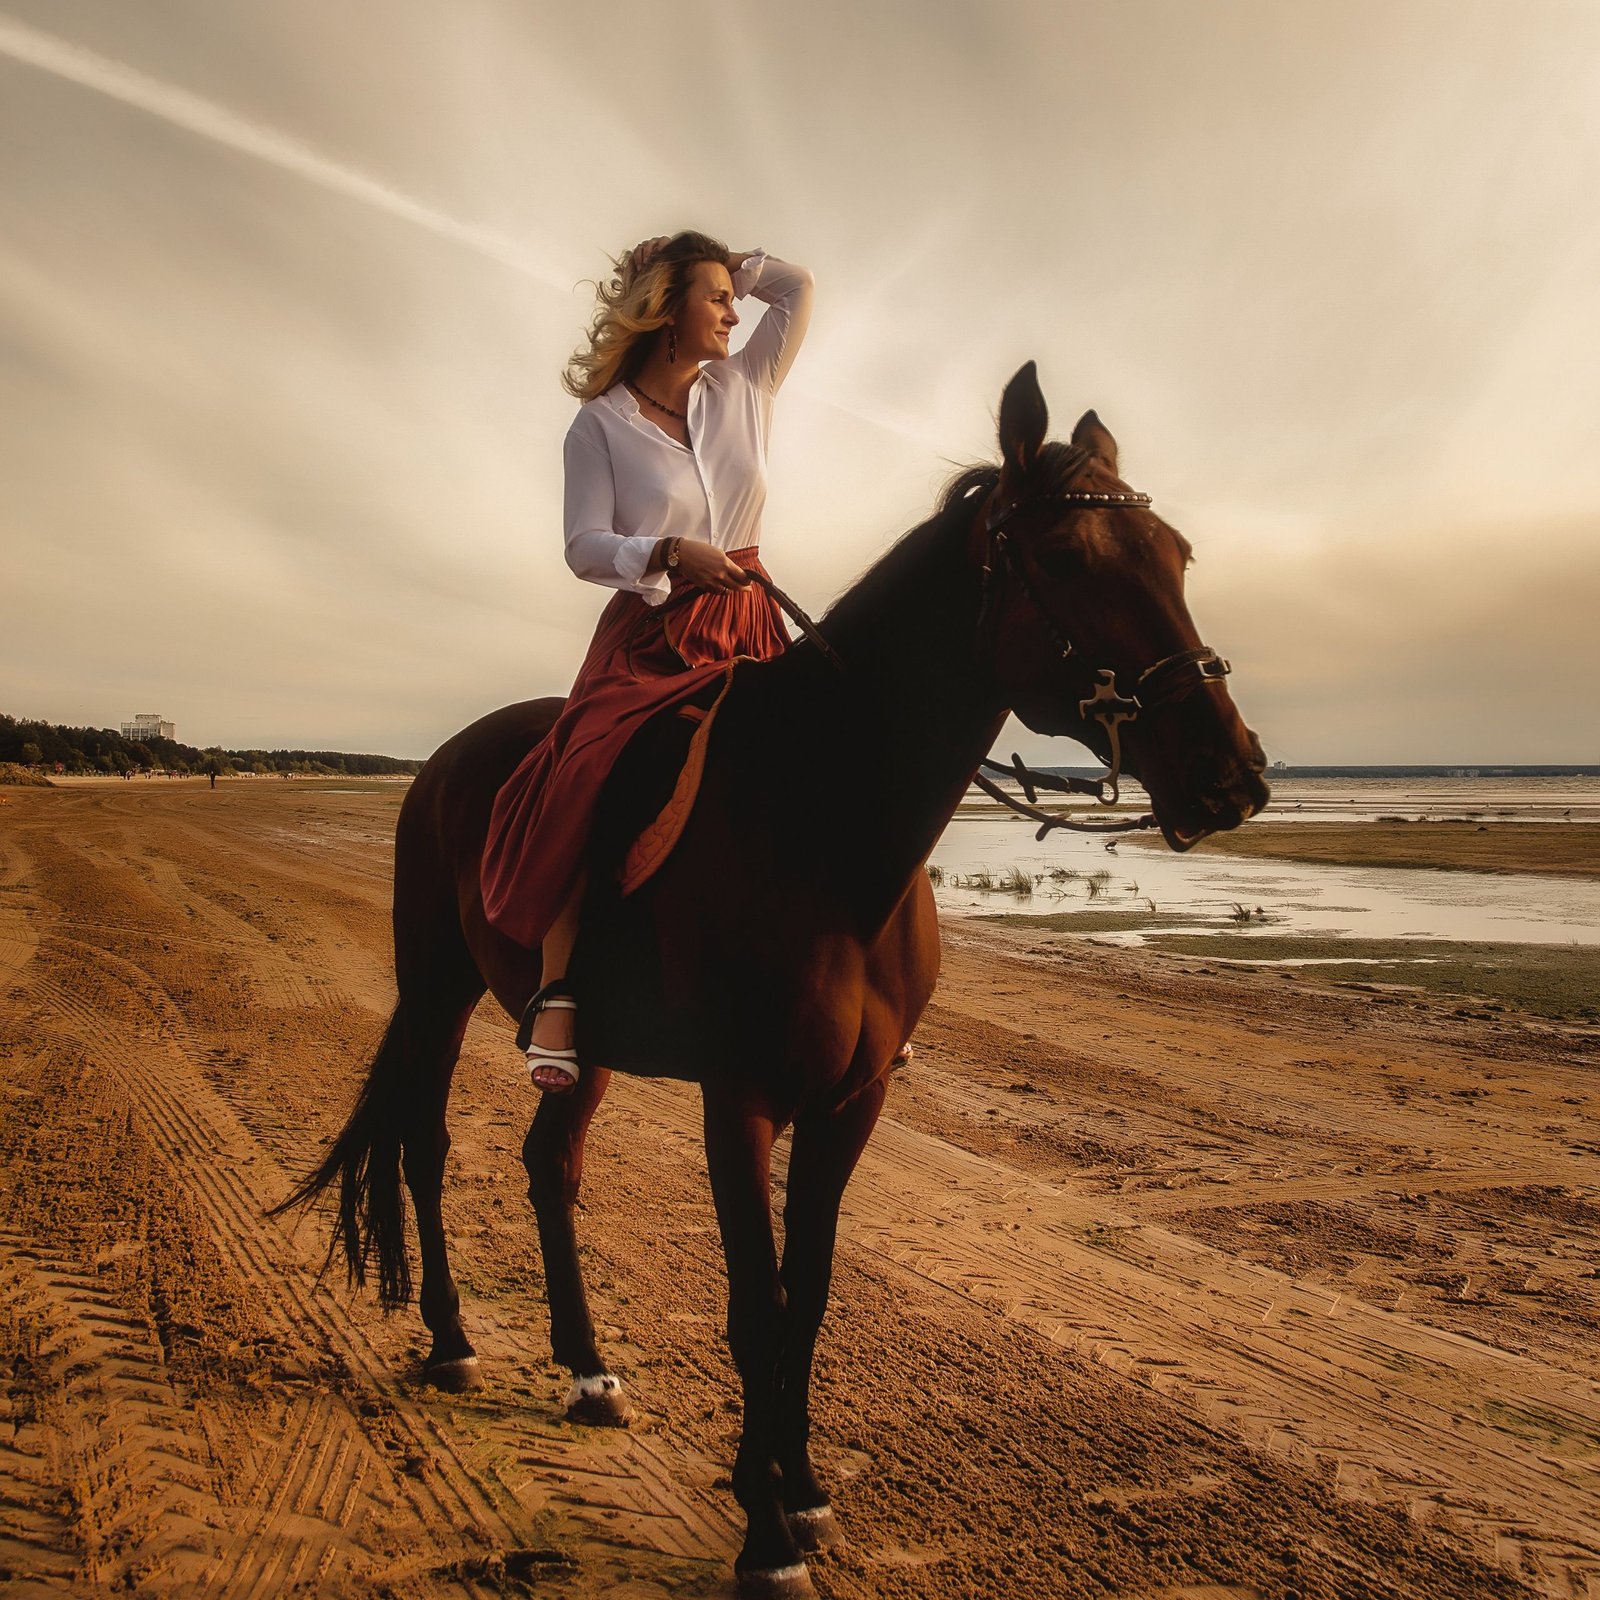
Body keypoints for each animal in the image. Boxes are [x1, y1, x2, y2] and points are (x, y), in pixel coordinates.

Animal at [281, 366, 1267, 1600]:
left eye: (1175, 552)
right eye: (1073, 558)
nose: (1231, 773)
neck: (826, 825)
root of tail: (447, 760)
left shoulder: (852, 1102)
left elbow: (809, 1296)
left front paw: (799, 1488)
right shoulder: (739, 1097)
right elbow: (756, 1305)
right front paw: (763, 1535)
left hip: (579, 1046)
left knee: (549, 1165)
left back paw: (587, 1371)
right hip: (434, 989)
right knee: (423, 1142)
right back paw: (453, 1341)